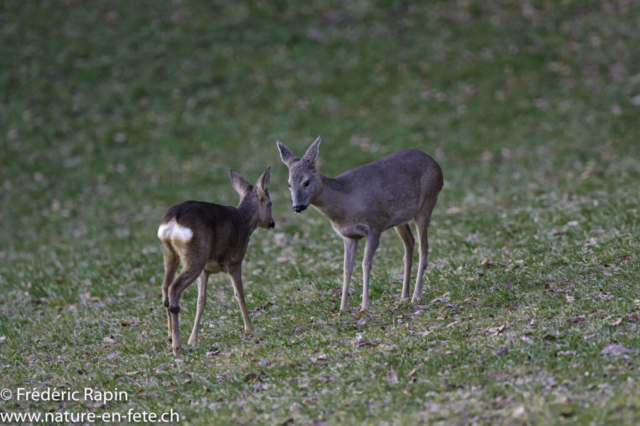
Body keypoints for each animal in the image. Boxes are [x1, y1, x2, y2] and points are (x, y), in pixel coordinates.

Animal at [158, 168, 276, 354]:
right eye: (270, 202)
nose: (272, 223)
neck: (246, 222)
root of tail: (173, 221)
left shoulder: (206, 270)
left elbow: (201, 301)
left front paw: (193, 339)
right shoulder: (235, 261)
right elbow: (239, 294)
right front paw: (249, 329)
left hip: (171, 254)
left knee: (165, 289)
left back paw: (170, 337)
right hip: (194, 257)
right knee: (174, 289)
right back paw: (177, 348)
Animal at [278, 138, 442, 312]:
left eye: (306, 182)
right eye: (289, 184)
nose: (297, 207)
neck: (346, 205)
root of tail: (437, 166)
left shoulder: (374, 226)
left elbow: (366, 264)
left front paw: (365, 306)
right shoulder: (349, 236)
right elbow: (346, 268)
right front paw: (343, 308)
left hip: (427, 203)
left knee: (423, 247)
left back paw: (416, 296)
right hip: (400, 219)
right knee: (410, 243)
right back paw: (404, 296)